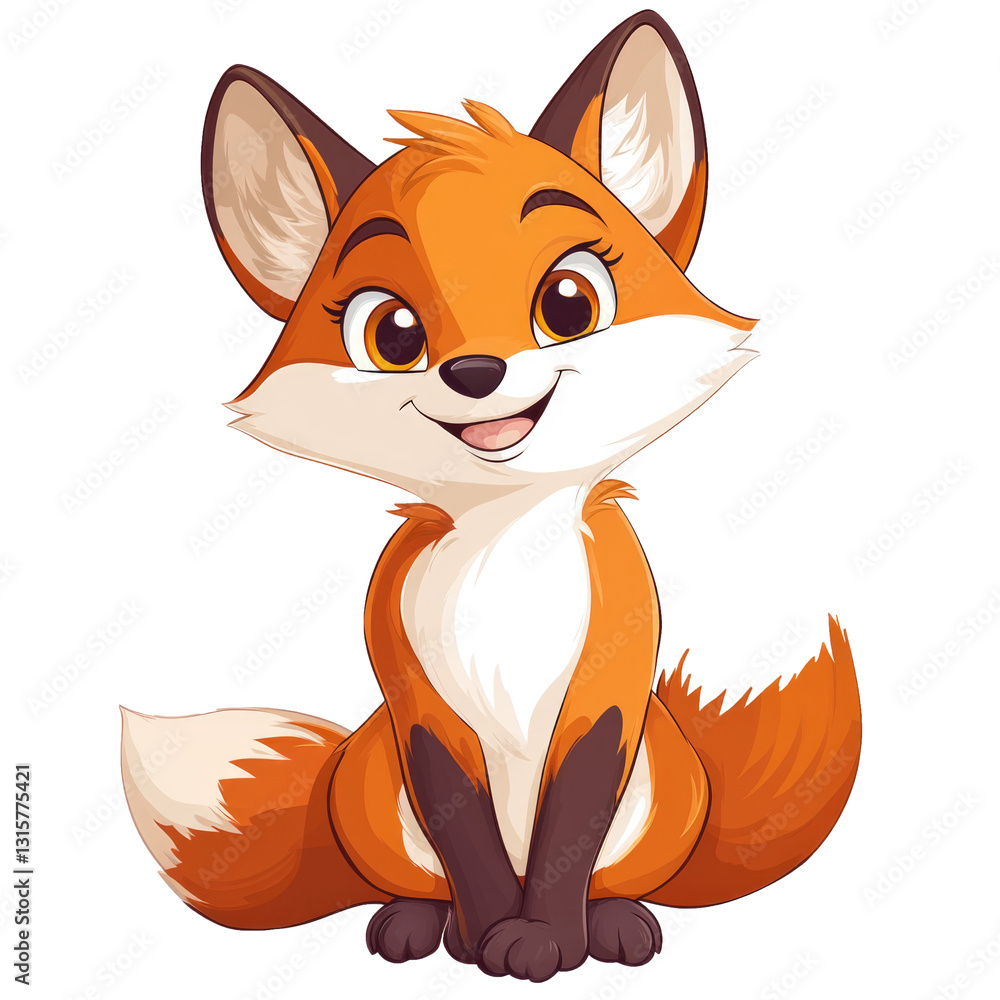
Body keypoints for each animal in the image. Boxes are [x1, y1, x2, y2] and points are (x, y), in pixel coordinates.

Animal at [121, 10, 861, 983]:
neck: (505, 552)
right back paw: (414, 923)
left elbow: (566, 830)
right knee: (419, 879)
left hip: (658, 791)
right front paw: (486, 942)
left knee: (610, 876)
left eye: (569, 302)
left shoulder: (610, 689)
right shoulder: (419, 706)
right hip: (373, 783)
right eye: (393, 332)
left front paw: (546, 942)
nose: (475, 372)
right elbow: (465, 830)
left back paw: (616, 923)